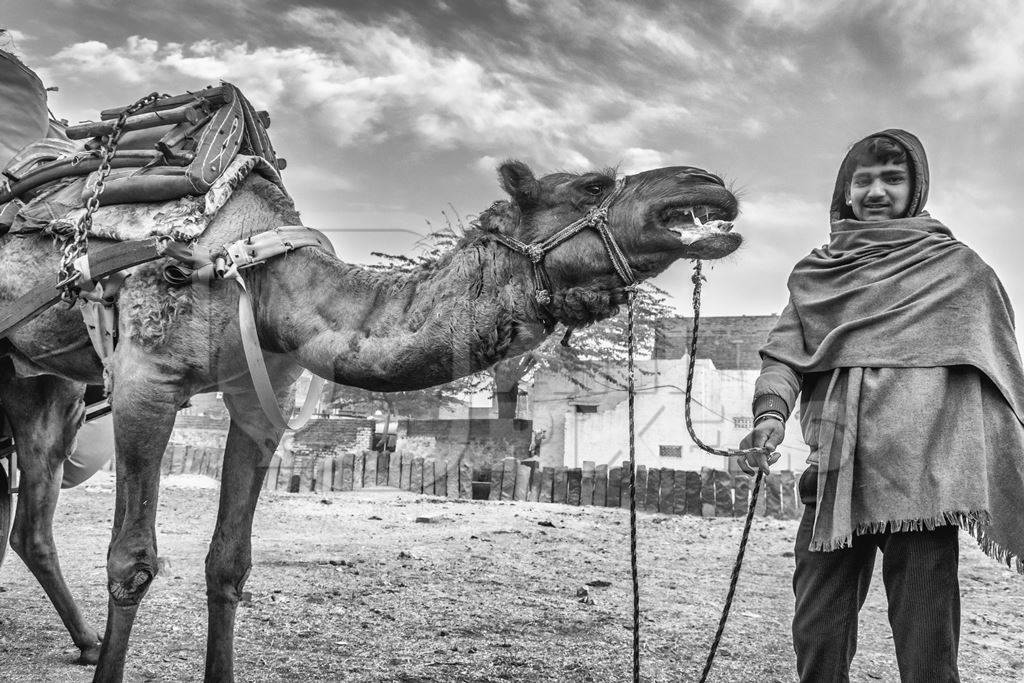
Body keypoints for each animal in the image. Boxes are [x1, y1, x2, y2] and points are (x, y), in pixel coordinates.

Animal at [0, 157, 737, 679]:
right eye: (592, 184)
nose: (710, 185)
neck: (253, 267)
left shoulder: (262, 400)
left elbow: (229, 564)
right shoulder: (144, 382)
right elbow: (132, 561)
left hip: (42, 386)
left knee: (31, 520)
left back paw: (85, 641)